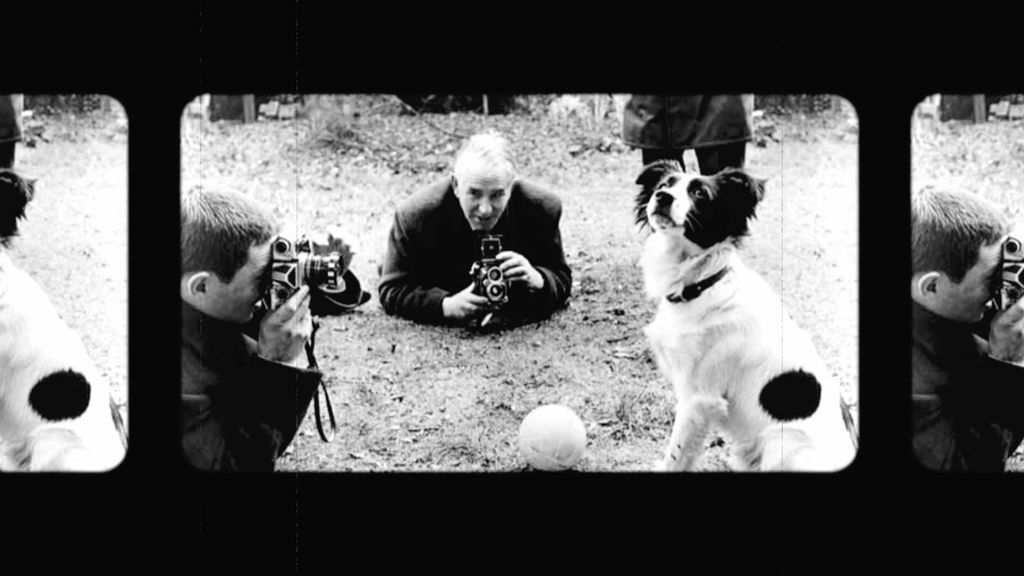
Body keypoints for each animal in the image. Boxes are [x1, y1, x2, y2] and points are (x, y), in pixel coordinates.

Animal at [630, 159, 856, 471]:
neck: (702, 284)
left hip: (781, 444)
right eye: (665, 184)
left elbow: (676, 455)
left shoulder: (699, 398)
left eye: (699, 193)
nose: (662, 197)